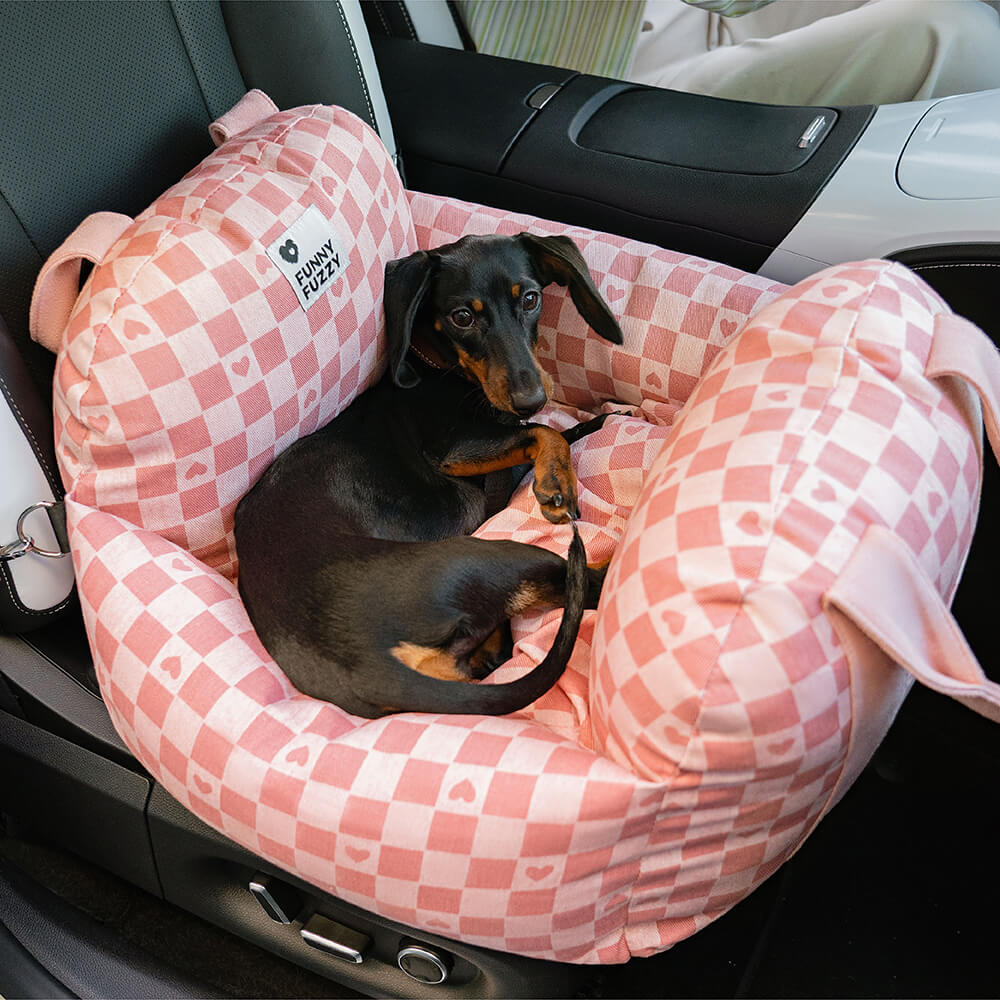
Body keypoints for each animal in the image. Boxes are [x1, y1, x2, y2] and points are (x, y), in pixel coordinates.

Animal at [237, 234, 620, 720]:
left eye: (531, 299)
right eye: (462, 317)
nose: (531, 398)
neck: (444, 370)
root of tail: (367, 667)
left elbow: (563, 428)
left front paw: (606, 418)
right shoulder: (454, 450)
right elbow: (548, 432)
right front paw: (557, 481)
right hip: (496, 555)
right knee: (588, 584)